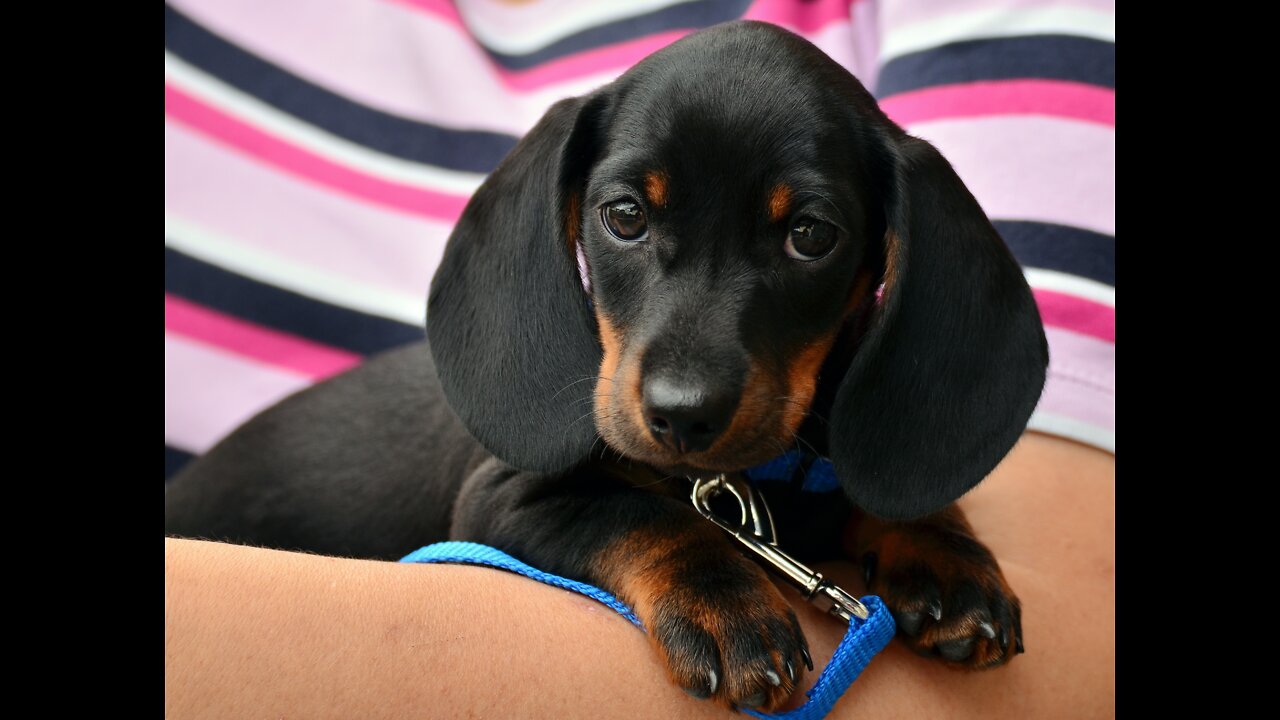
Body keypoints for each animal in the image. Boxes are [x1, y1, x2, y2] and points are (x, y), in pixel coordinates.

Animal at [165, 19, 1044, 707]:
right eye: (624, 215)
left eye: (812, 235)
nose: (682, 415)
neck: (743, 486)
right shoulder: (503, 501)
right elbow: (641, 515)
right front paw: (728, 603)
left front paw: (943, 551)